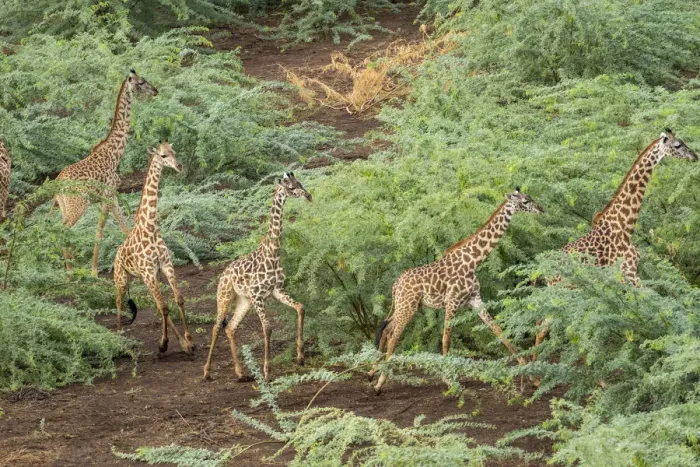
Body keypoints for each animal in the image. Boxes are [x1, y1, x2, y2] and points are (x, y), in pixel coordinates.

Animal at [54, 69, 158, 276]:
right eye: (141, 82)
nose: (155, 90)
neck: (115, 152)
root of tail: (57, 185)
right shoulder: (108, 195)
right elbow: (101, 230)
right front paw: (94, 271)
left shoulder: (111, 197)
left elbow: (124, 227)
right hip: (78, 206)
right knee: (63, 230)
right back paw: (70, 272)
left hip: (65, 208)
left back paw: (71, 269)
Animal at [113, 143, 195, 355]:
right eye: (163, 155)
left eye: (174, 152)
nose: (179, 166)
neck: (151, 228)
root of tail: (116, 254)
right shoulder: (150, 271)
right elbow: (165, 306)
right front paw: (164, 343)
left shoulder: (165, 266)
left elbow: (178, 299)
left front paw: (189, 341)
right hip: (122, 278)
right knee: (118, 301)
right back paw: (119, 338)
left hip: (144, 277)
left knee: (157, 304)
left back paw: (180, 342)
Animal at [203, 172, 311, 381]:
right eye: (291, 188)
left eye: (300, 183)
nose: (308, 196)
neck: (273, 254)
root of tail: (223, 275)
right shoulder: (257, 295)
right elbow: (267, 328)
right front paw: (267, 371)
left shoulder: (276, 291)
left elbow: (301, 307)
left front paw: (300, 357)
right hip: (225, 296)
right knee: (216, 327)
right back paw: (207, 371)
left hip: (244, 301)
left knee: (230, 328)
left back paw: (240, 372)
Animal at [368, 189, 544, 394]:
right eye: (525, 201)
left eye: (530, 198)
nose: (541, 209)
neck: (474, 261)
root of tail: (395, 285)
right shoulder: (451, 302)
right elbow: (446, 339)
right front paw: (449, 380)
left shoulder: (475, 300)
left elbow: (499, 332)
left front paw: (533, 377)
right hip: (408, 306)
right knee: (393, 336)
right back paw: (380, 382)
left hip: (406, 305)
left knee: (386, 329)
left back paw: (372, 373)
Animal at [532, 129, 698, 355]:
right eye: (678, 145)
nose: (695, 156)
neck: (624, 225)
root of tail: (543, 271)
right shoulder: (629, 274)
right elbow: (657, 301)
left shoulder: (629, 276)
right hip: (565, 291)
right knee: (548, 328)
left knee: (544, 327)